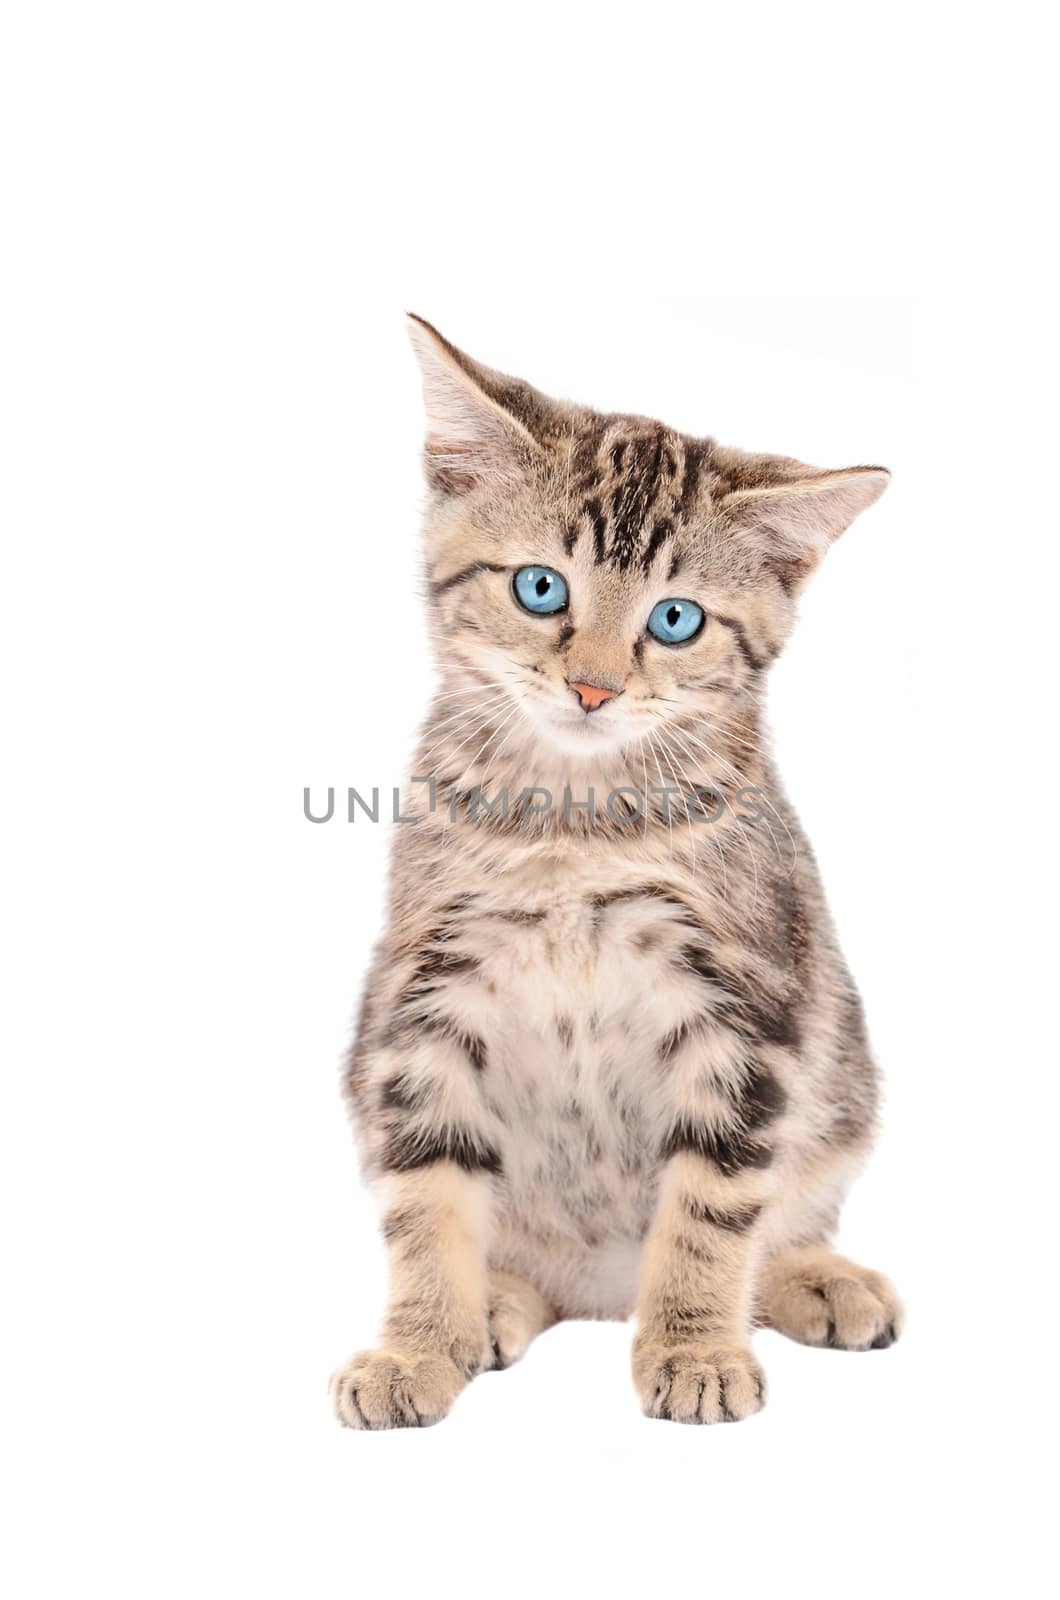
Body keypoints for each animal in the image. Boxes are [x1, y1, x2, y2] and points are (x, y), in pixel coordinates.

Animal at [334, 318, 903, 1433]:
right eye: (540, 587)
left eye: (675, 619)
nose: (592, 687)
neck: (576, 820)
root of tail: (599, 1290)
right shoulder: (423, 992)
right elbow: (425, 1194)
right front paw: (416, 1345)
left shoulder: (746, 1000)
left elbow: (714, 1200)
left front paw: (693, 1344)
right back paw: (491, 1307)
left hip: (843, 1085)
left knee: (781, 1213)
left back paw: (810, 1278)